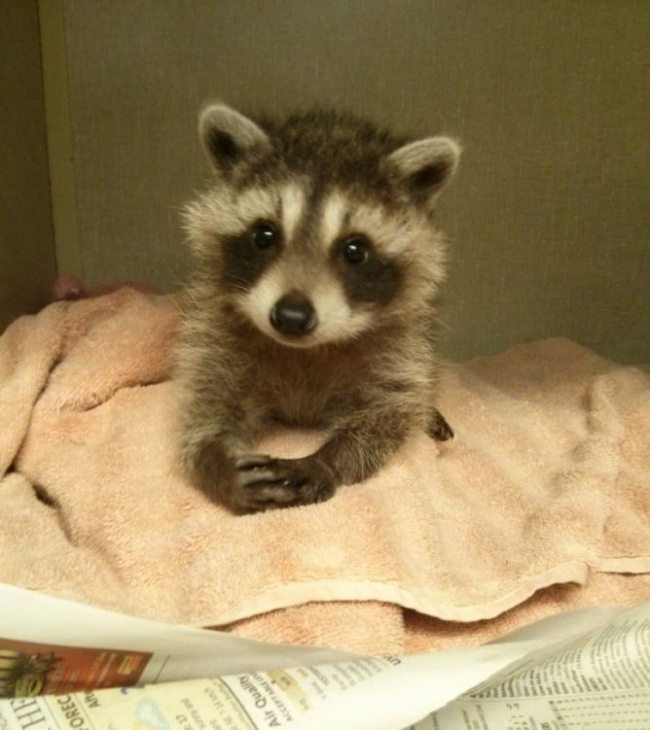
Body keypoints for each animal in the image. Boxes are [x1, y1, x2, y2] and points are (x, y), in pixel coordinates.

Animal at [176, 102, 460, 513]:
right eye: (264, 235)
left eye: (355, 250)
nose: (292, 318)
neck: (306, 349)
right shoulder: (214, 330)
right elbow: (206, 401)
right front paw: (215, 459)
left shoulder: (403, 345)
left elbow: (388, 412)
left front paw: (328, 459)